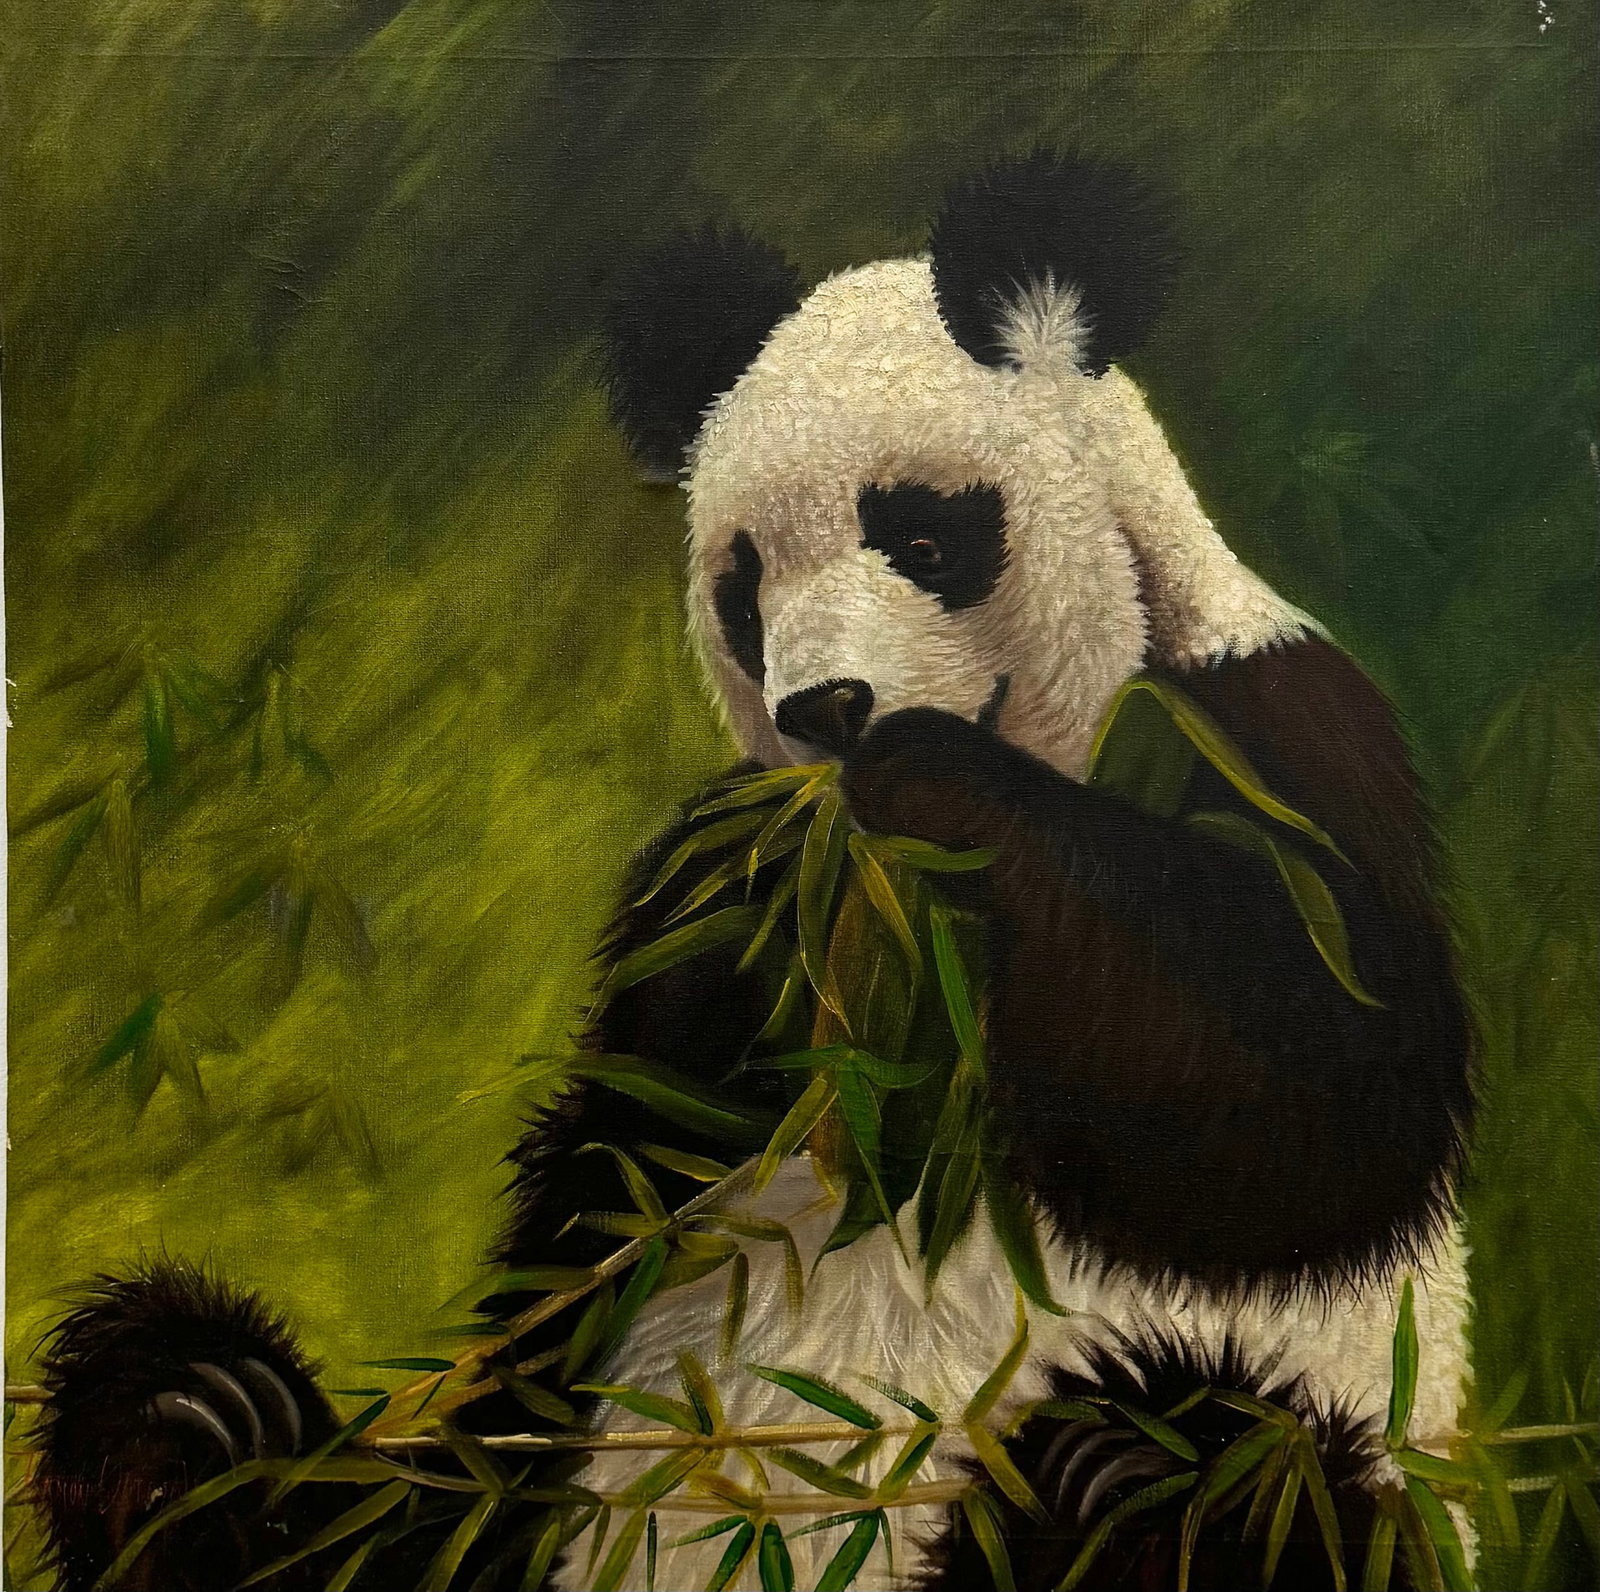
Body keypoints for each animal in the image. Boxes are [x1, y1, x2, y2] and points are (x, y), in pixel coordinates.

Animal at [34, 153, 1473, 1592]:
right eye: (745, 583)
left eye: (922, 538)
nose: (826, 710)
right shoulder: (687, 986)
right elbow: (594, 1193)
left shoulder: (1277, 737)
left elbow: (1302, 1089)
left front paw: (938, 786)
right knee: (345, 1483)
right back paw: (195, 1428)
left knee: (1236, 1473)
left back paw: (1112, 1483)